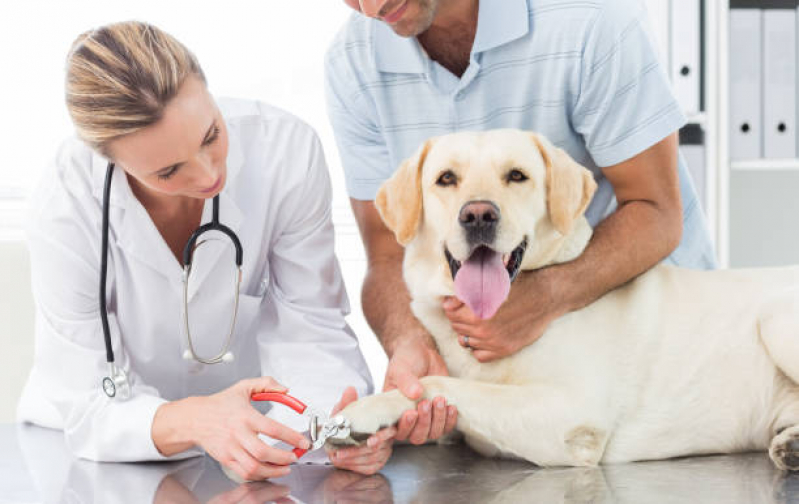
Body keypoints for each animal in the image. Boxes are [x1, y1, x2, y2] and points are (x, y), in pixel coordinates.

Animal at [334, 129, 799, 468]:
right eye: (446, 178)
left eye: (516, 175)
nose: (479, 215)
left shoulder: (570, 415)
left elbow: (437, 383)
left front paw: (362, 412)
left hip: (775, 321)